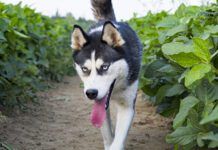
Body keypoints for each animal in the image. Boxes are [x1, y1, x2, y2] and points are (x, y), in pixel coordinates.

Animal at [71, 0, 141, 149]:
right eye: (85, 69)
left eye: (104, 67)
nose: (91, 93)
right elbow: (108, 136)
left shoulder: (127, 106)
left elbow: (117, 142)